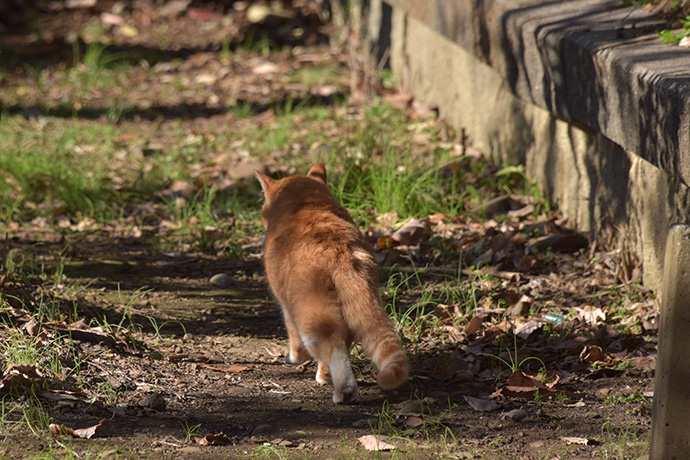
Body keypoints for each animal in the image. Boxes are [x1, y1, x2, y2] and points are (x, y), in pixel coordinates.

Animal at [256, 163, 408, 402]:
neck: (306, 203)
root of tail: (340, 251)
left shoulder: (286, 306)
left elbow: (292, 335)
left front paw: (294, 357)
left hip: (314, 317)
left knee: (333, 349)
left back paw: (343, 391)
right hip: (351, 309)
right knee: (342, 344)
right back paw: (328, 379)